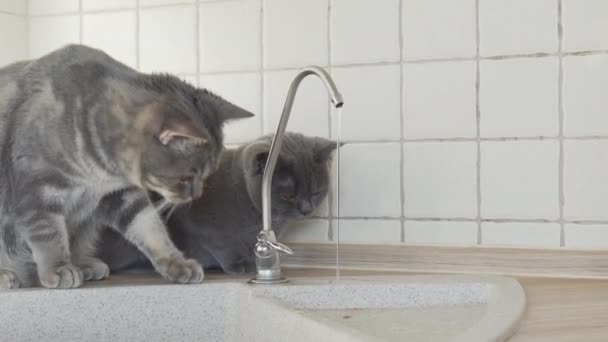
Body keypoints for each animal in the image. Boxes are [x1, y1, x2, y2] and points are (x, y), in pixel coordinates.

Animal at [0, 43, 252, 288]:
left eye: (207, 174)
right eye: (186, 177)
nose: (196, 195)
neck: (100, 174)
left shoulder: (123, 196)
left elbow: (151, 229)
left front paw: (176, 263)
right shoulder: (37, 191)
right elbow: (49, 236)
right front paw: (58, 269)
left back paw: (84, 265)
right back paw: (8, 275)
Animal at [97, 134, 340, 276]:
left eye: (316, 192)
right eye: (288, 195)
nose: (307, 209)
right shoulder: (197, 224)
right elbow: (221, 246)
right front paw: (239, 266)